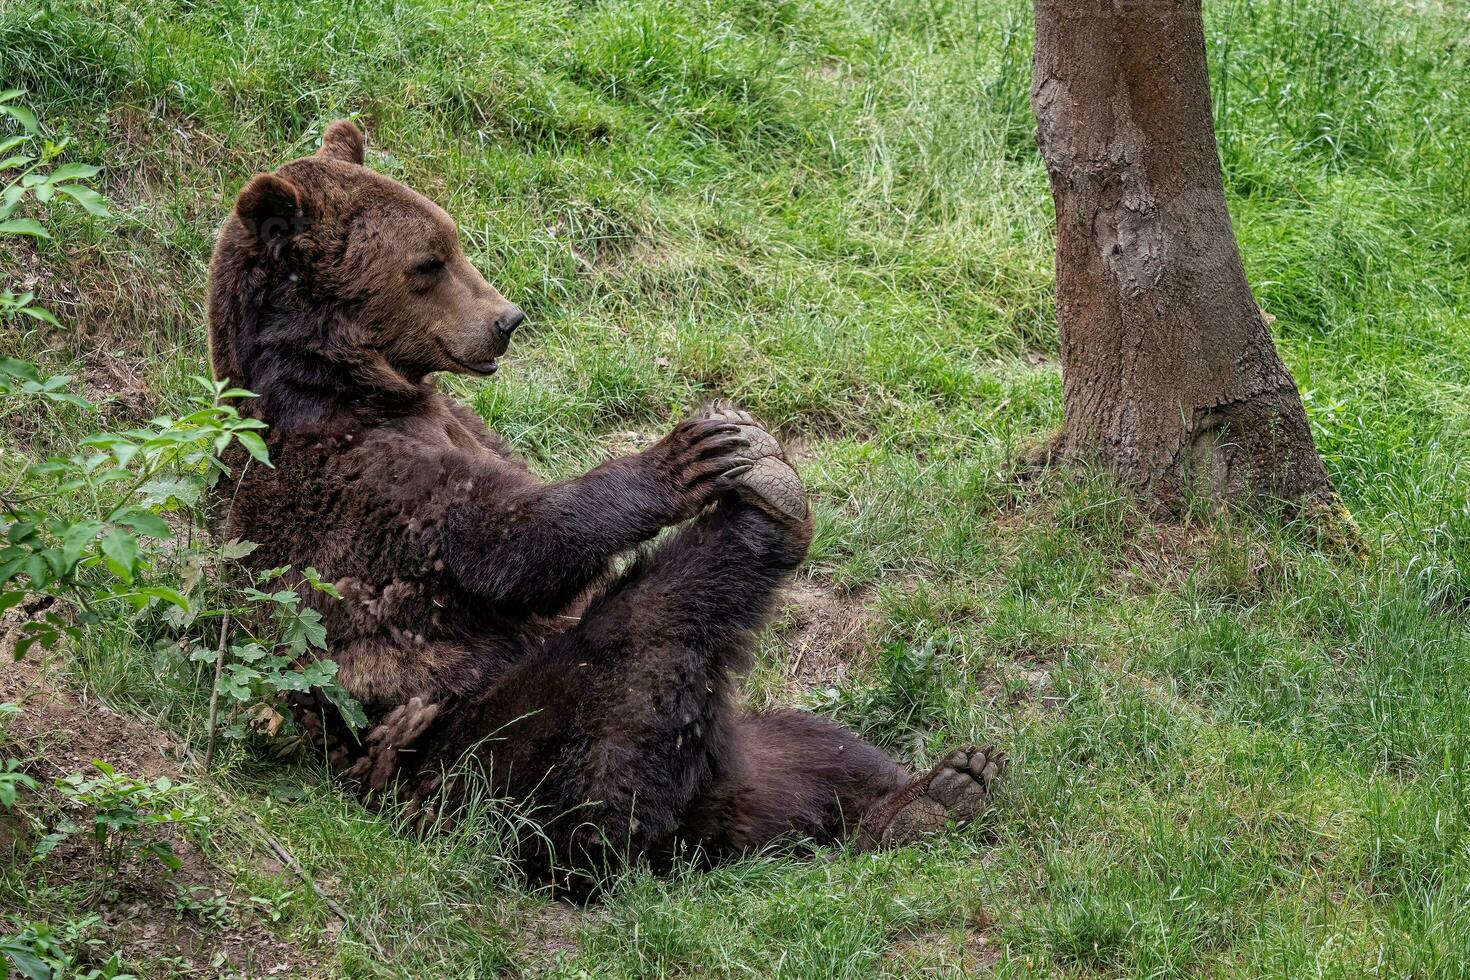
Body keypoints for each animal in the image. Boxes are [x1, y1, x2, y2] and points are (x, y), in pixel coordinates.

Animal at [207, 120, 1005, 887]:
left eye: (451, 240)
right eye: (428, 264)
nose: (507, 320)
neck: (354, 386)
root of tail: (694, 829)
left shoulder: (462, 426)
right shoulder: (359, 486)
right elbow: (510, 544)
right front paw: (685, 454)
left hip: (739, 759)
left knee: (815, 751)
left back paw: (937, 793)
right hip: (481, 761)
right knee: (633, 656)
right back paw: (764, 514)